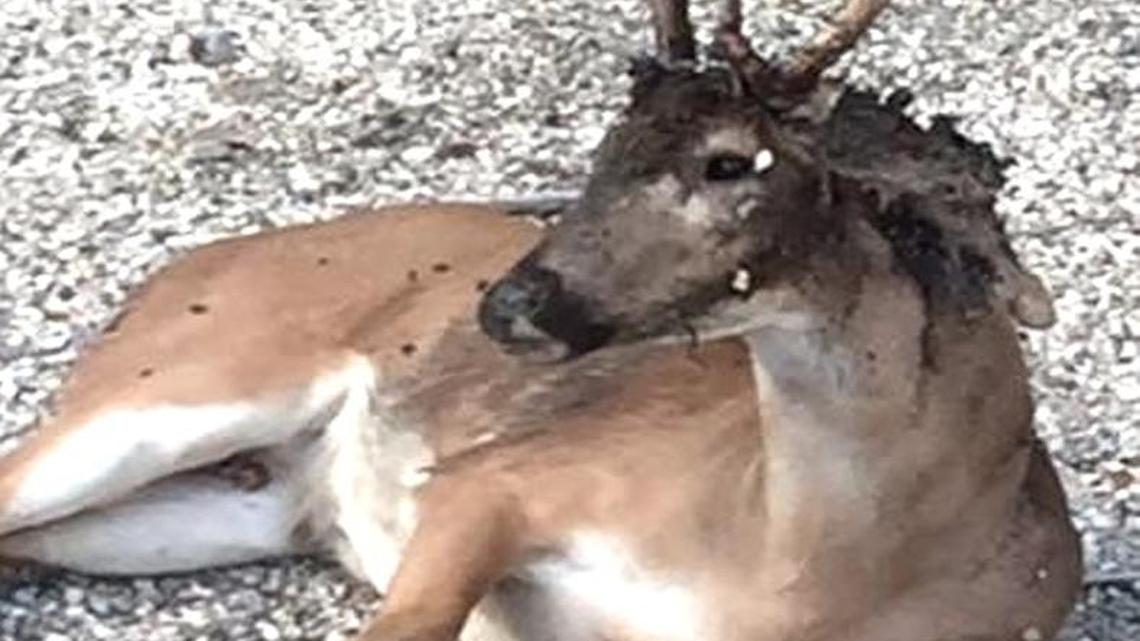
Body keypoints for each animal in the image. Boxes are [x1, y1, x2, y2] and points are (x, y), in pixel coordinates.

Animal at [0, 1, 1082, 640]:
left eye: (728, 162)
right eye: (605, 144)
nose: (509, 303)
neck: (795, 582)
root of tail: (173, 272)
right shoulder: (507, 476)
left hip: (243, 503)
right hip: (190, 376)